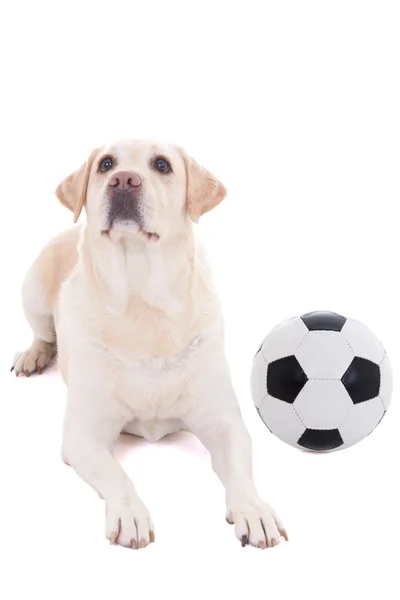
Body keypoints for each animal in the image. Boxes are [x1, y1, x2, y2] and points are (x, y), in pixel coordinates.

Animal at [11, 139, 288, 548]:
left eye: (162, 164)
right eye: (106, 164)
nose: (123, 180)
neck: (142, 307)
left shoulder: (224, 422)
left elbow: (240, 470)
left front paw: (254, 511)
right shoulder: (82, 434)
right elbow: (117, 474)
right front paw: (130, 514)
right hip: (33, 291)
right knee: (43, 334)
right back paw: (33, 355)